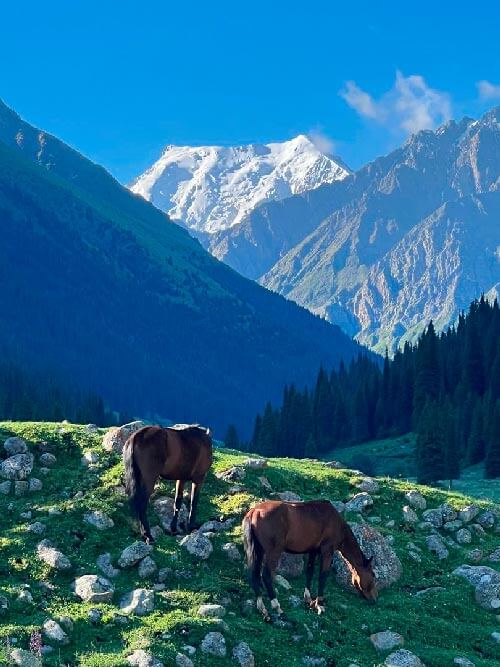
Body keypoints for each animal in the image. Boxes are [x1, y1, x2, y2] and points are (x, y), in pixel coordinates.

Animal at [241, 500, 376, 620]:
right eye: (373, 575)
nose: (374, 599)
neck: (337, 523)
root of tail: (254, 511)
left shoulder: (313, 551)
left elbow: (309, 572)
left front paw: (308, 599)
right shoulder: (327, 551)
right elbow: (323, 576)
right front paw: (320, 604)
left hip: (258, 551)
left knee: (254, 575)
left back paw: (263, 609)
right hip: (273, 552)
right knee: (267, 576)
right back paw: (278, 608)